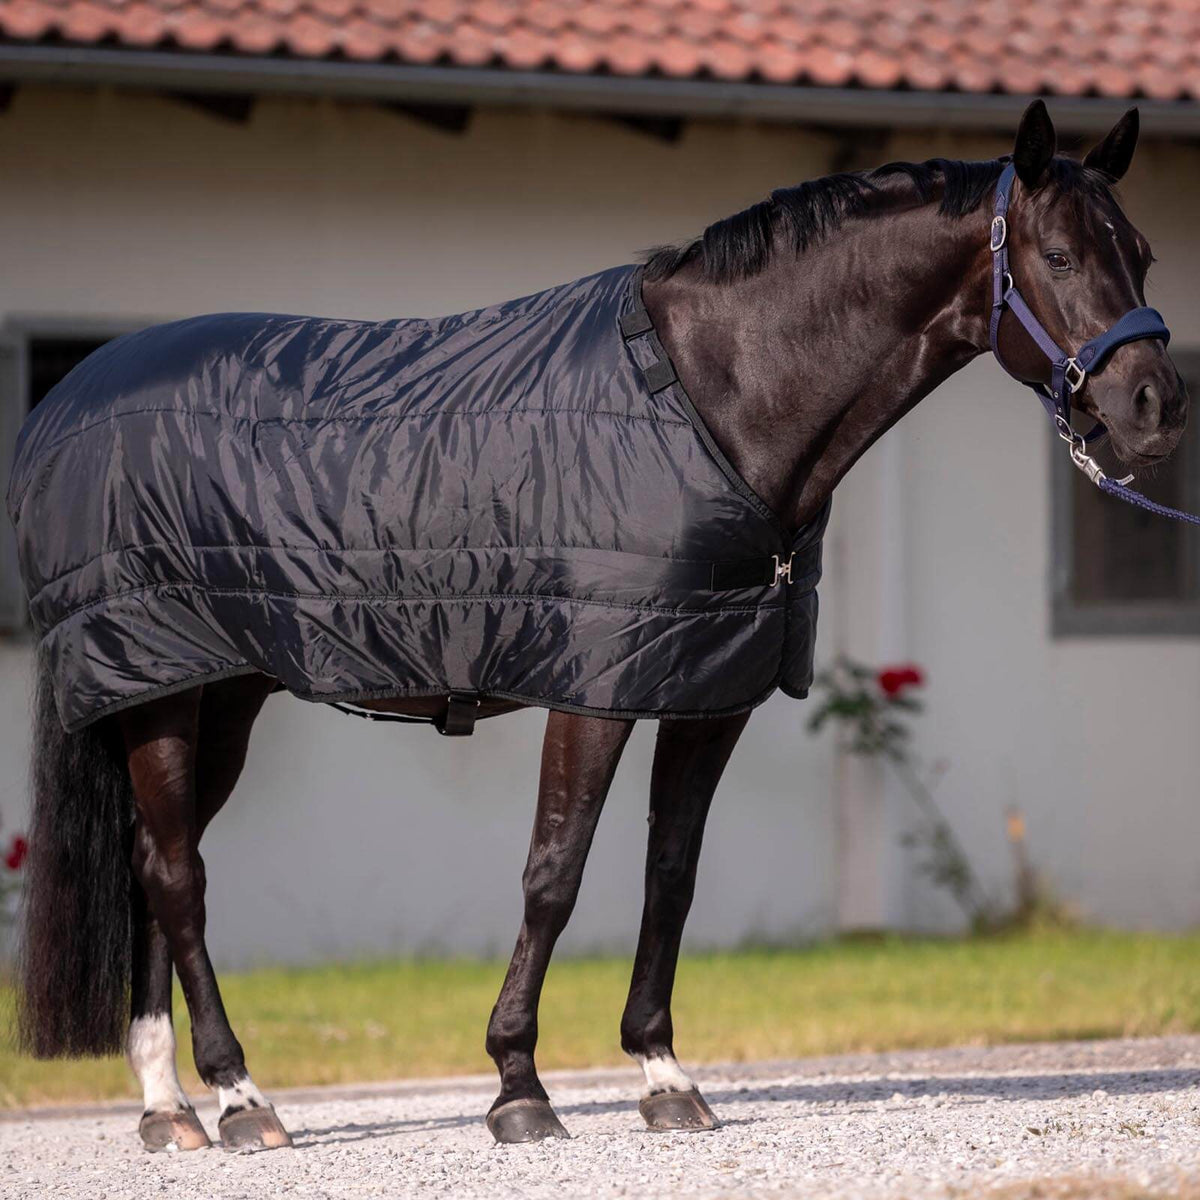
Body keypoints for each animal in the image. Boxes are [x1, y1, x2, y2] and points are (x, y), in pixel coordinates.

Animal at [10, 100, 1187, 1153]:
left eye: (1142, 252)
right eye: (1056, 253)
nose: (1155, 409)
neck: (716, 399)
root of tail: (67, 401)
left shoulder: (707, 689)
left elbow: (672, 874)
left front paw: (664, 1076)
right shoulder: (594, 685)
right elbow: (554, 874)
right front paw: (518, 1088)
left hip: (217, 693)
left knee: (150, 865)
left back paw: (168, 1107)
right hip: (159, 689)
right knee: (177, 876)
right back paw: (241, 1098)